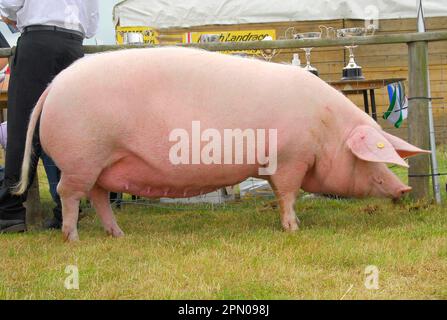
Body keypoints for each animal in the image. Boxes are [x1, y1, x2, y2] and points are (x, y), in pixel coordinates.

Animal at [15, 47, 430, 240]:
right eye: (373, 157)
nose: (404, 188)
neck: (325, 129)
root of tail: (53, 86)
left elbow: (282, 193)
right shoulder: (289, 158)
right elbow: (288, 194)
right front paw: (293, 229)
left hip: (102, 165)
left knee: (99, 197)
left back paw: (118, 234)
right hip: (81, 158)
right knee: (70, 195)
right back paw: (73, 239)